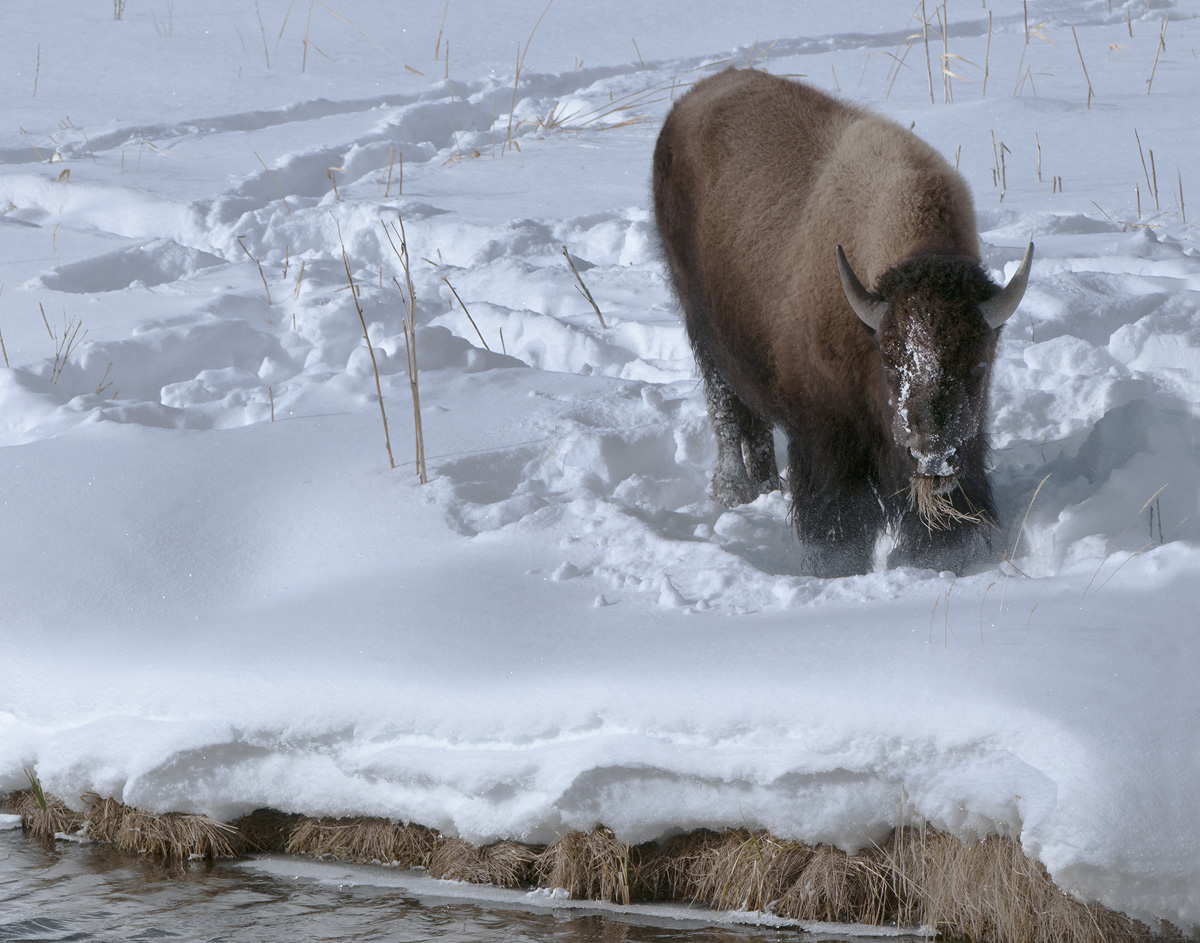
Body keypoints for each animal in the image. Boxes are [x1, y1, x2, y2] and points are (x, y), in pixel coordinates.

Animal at [652, 69, 1032, 577]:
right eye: (891, 363)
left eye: (978, 367)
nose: (931, 456)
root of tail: (692, 101)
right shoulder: (825, 433)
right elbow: (838, 519)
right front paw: (838, 566)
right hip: (701, 329)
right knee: (727, 410)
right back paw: (733, 492)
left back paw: (768, 486)